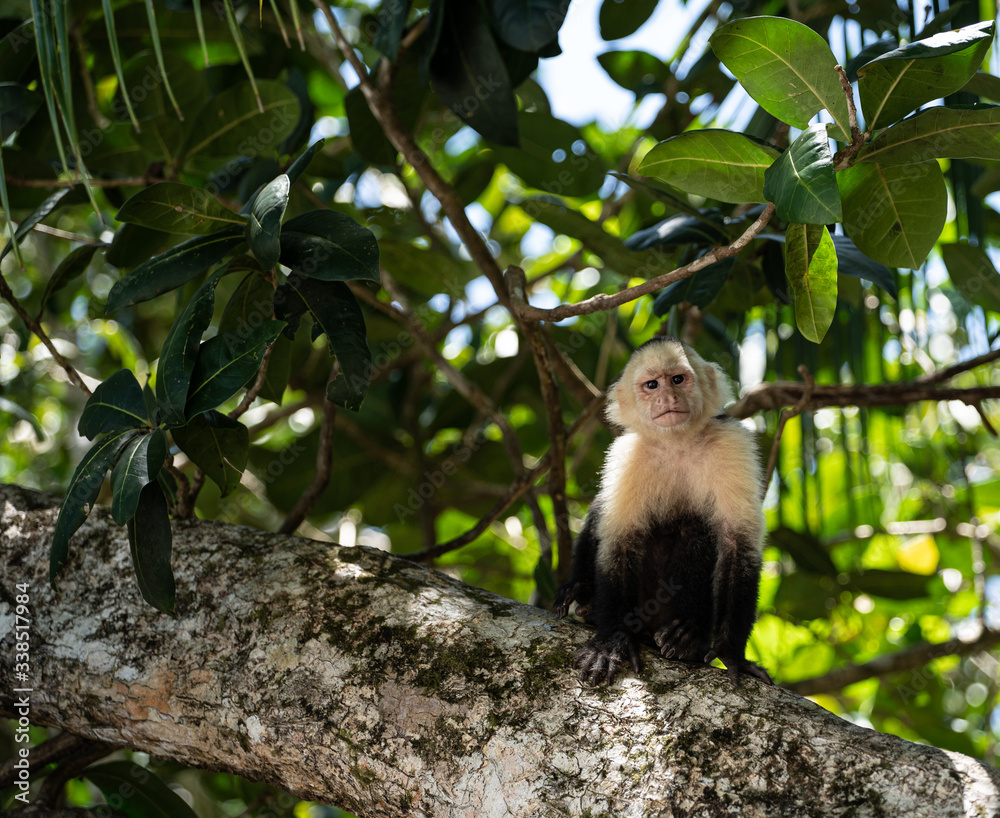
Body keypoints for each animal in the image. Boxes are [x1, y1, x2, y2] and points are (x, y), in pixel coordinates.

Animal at [555, 337, 772, 687]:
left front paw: (731, 654)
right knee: (603, 507)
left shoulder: (731, 441)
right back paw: (584, 596)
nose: (667, 397)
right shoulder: (627, 453)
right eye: (652, 385)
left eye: (678, 379)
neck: (677, 442)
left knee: (696, 526)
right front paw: (610, 641)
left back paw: (687, 636)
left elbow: (737, 543)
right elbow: (620, 540)